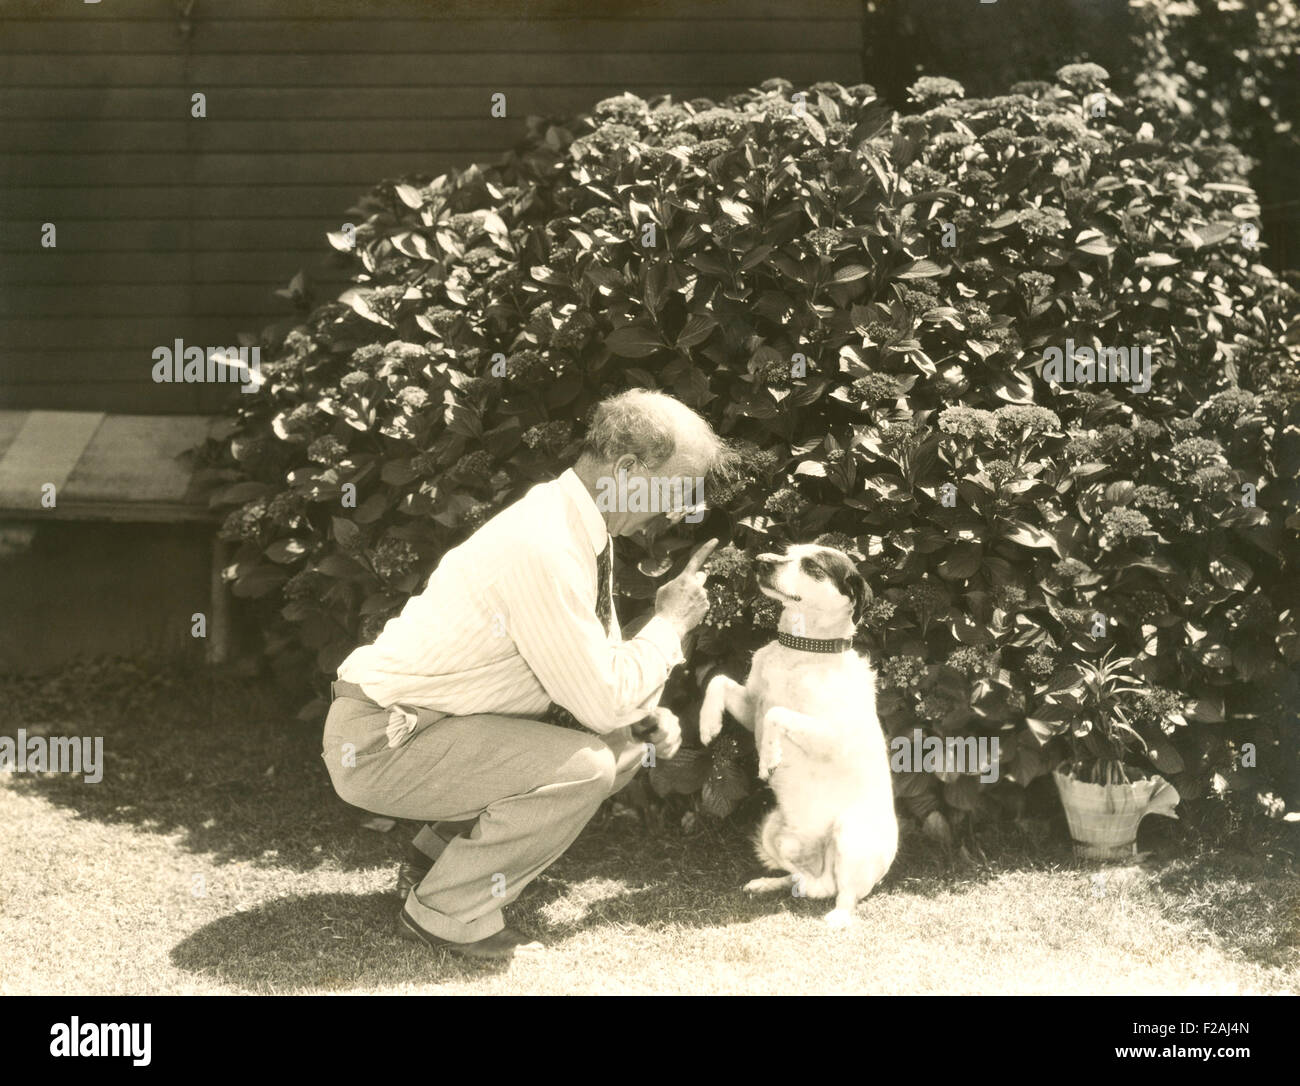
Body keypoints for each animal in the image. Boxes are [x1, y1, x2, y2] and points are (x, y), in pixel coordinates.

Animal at [696, 543, 899, 926]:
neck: (801, 647)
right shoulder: (751, 706)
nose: (761, 561)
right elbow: (718, 681)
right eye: (788, 551)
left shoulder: (830, 736)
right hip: (770, 828)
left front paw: (768, 759)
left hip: (850, 833)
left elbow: (778, 713)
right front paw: (707, 724)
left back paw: (838, 917)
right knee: (800, 877)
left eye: (813, 566)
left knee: (845, 894)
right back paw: (768, 883)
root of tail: (821, 876)